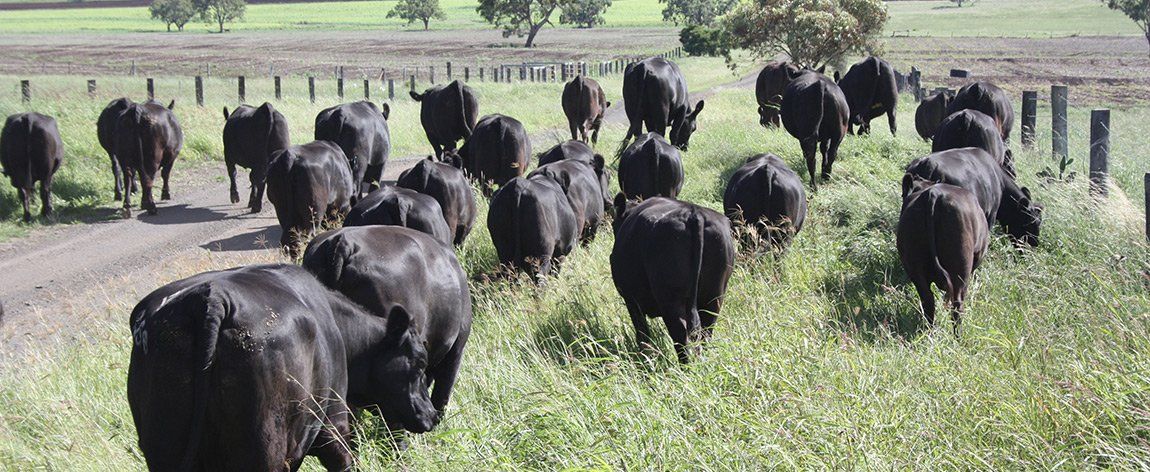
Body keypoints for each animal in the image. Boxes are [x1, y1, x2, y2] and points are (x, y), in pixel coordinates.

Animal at [128, 264, 439, 470]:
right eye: (419, 364)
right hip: (268, 447)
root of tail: (213, 298)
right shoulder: (335, 423)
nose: (432, 415)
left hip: (164, 445)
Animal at [610, 195, 735, 363]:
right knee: (706, 332)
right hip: (714, 296)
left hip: (670, 299)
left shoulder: (631, 300)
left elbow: (642, 334)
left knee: (680, 334)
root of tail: (694, 213)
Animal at [897, 178, 989, 336]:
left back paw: (929, 331)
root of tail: (933, 194)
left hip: (915, 267)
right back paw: (958, 337)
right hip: (961, 269)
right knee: (957, 304)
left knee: (928, 299)